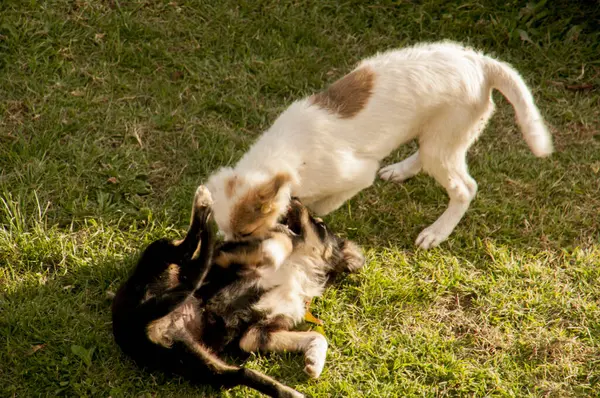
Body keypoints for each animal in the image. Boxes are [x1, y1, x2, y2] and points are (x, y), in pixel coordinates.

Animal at [112, 187, 366, 398]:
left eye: (320, 225)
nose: (294, 196)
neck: (297, 266)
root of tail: (135, 324)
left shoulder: (255, 334)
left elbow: (318, 336)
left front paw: (314, 362)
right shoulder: (226, 258)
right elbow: (282, 239)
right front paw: (277, 241)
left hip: (193, 359)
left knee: (241, 373)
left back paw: (291, 394)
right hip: (159, 252)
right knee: (188, 253)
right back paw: (203, 206)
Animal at [206, 42, 552, 249]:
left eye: (245, 233)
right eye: (223, 231)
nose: (226, 252)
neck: (285, 158)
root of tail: (481, 62)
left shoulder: (358, 175)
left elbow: (321, 205)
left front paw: (309, 217)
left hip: (444, 139)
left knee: (465, 188)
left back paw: (436, 233)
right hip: (437, 136)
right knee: (425, 156)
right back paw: (400, 171)